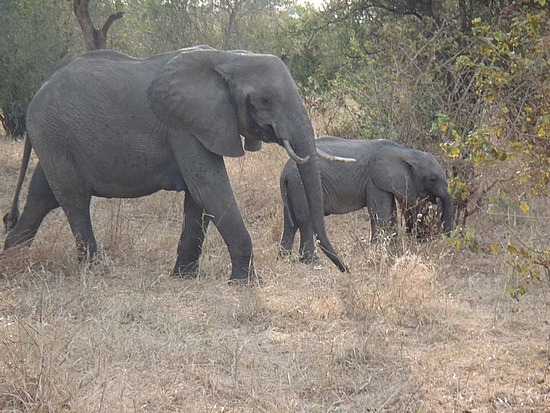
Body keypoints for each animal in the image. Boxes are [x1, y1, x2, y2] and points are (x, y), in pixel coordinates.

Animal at [2, 46, 350, 282]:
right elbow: (208, 185)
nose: (345, 270)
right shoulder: (183, 125)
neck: (229, 58)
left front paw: (184, 276)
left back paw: (11, 258)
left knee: (42, 196)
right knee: (73, 200)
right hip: (56, 133)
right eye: (266, 100)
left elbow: (198, 197)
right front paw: (247, 283)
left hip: (54, 139)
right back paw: (96, 270)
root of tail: (39, 90)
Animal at [278, 137, 454, 262]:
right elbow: (381, 214)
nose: (446, 241)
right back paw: (312, 262)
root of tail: (284, 173)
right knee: (306, 221)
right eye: (432, 179)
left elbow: (390, 213)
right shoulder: (374, 181)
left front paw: (393, 248)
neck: (406, 152)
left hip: (293, 187)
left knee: (291, 222)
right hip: (300, 184)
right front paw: (378, 252)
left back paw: (284, 259)